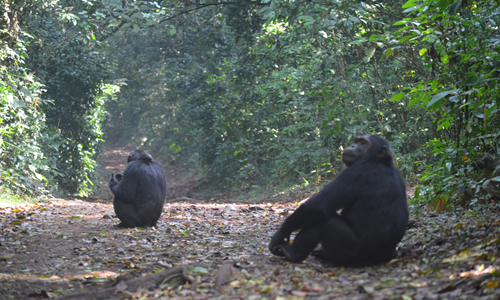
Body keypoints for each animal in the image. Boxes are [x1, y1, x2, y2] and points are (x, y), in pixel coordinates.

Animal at [270, 135, 406, 266]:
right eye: (356, 141)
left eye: (363, 143)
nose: (353, 145)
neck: (379, 161)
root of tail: (384, 258)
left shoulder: (356, 172)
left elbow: (318, 206)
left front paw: (279, 235)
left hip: (352, 251)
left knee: (324, 220)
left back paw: (292, 253)